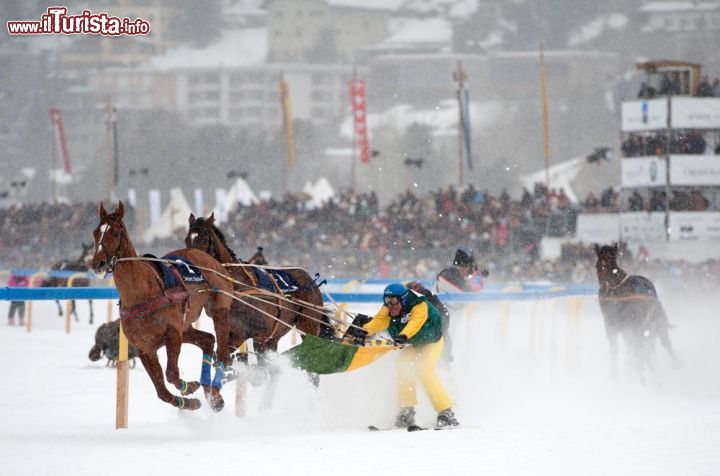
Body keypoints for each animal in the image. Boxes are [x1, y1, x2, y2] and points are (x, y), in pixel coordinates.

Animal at [90, 203, 233, 410]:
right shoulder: (145, 348)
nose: (98, 264)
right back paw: (207, 389)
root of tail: (207, 257)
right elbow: (162, 392)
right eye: (95, 232)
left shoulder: (172, 334)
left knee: (222, 354)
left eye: (116, 233)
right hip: (185, 327)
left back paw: (214, 393)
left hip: (218, 308)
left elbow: (172, 374)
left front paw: (188, 387)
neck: (141, 295)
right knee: (207, 340)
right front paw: (188, 401)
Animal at [592, 244, 676, 382]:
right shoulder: (611, 326)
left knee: (664, 343)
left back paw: (676, 364)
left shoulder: (633, 326)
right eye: (597, 265)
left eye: (613, 264)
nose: (605, 288)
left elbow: (636, 349)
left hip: (656, 322)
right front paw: (614, 376)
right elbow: (616, 349)